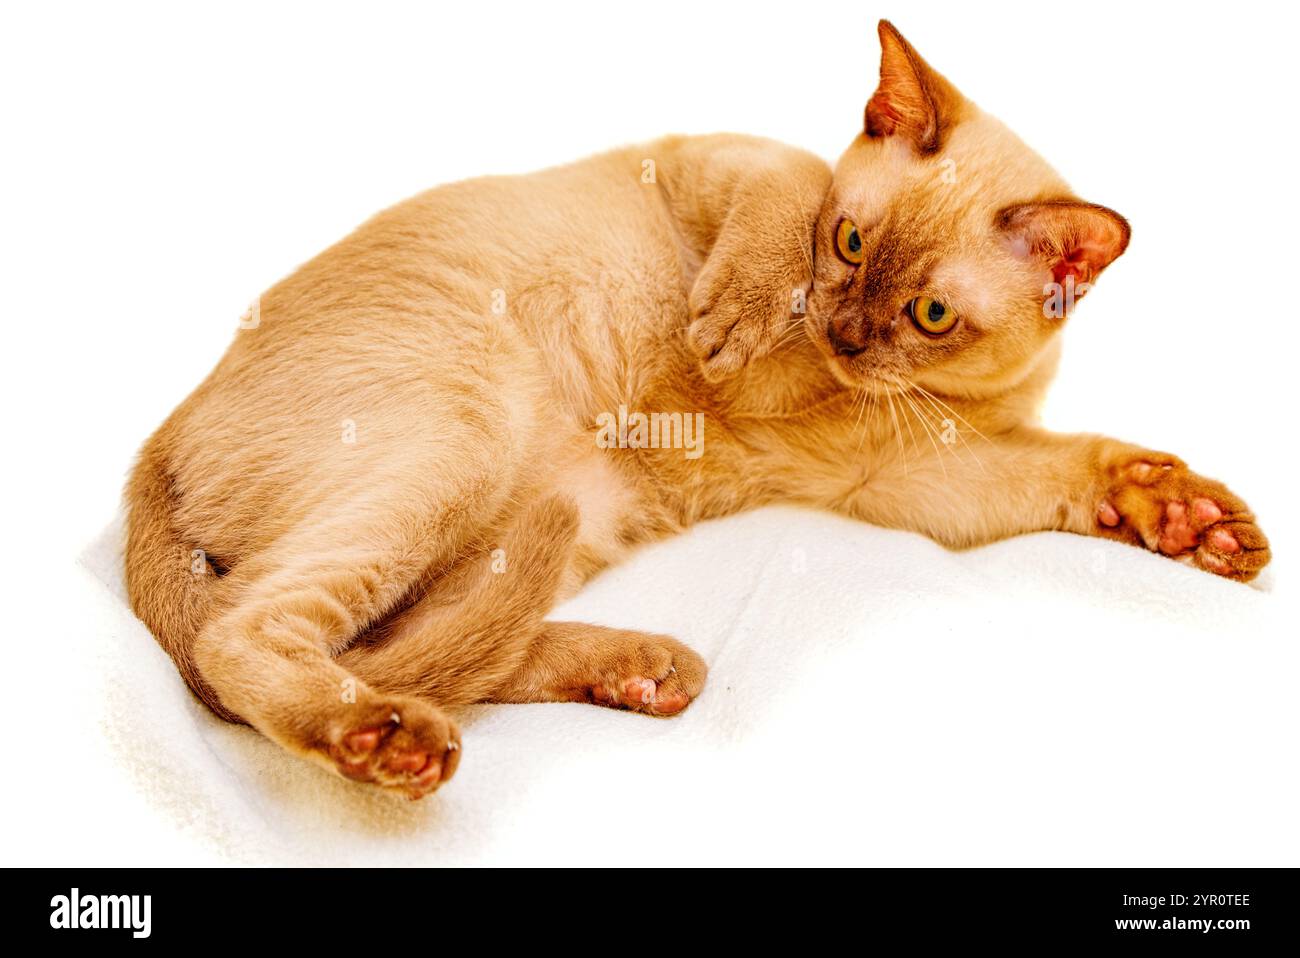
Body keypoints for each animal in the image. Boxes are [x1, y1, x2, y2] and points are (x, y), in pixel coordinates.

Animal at [124, 24, 1268, 800]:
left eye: (931, 314)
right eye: (849, 243)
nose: (843, 331)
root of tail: (153, 446)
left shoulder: (925, 478)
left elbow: (1075, 466)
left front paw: (1190, 522)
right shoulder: (721, 166)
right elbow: (783, 190)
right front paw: (732, 320)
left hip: (545, 516)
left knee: (423, 644)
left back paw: (640, 673)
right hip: (463, 440)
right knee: (246, 636)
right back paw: (390, 742)